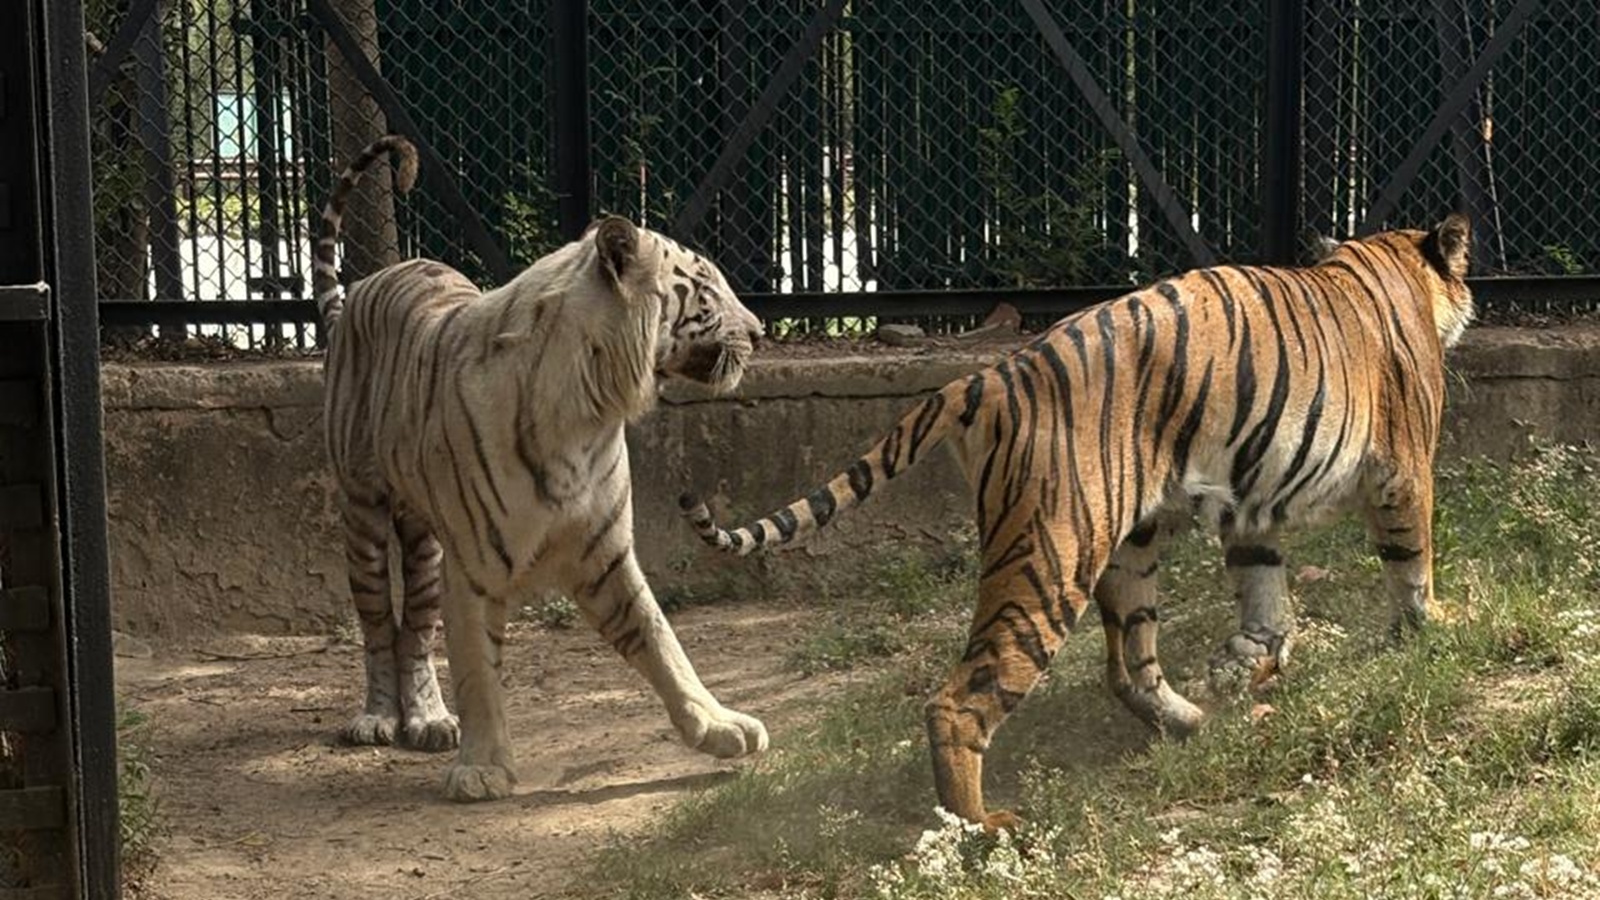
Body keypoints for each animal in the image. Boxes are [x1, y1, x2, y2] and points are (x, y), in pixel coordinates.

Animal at [312, 135, 768, 802]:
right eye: (707, 288)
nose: (761, 332)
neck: (592, 410)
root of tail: (368, 284)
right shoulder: (474, 568)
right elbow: (478, 671)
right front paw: (483, 769)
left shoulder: (605, 552)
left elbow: (662, 642)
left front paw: (719, 726)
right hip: (363, 514)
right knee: (377, 620)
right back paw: (377, 717)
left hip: (423, 544)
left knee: (414, 628)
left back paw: (427, 719)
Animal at [681, 215, 1474, 831]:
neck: (1388, 261)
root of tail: (987, 376)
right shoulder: (1404, 469)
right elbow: (1412, 559)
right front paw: (1433, 626)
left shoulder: (1250, 504)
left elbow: (1263, 594)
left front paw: (1249, 658)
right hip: (1049, 561)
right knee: (959, 702)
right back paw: (981, 824)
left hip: (1126, 548)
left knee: (1128, 668)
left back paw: (1195, 723)